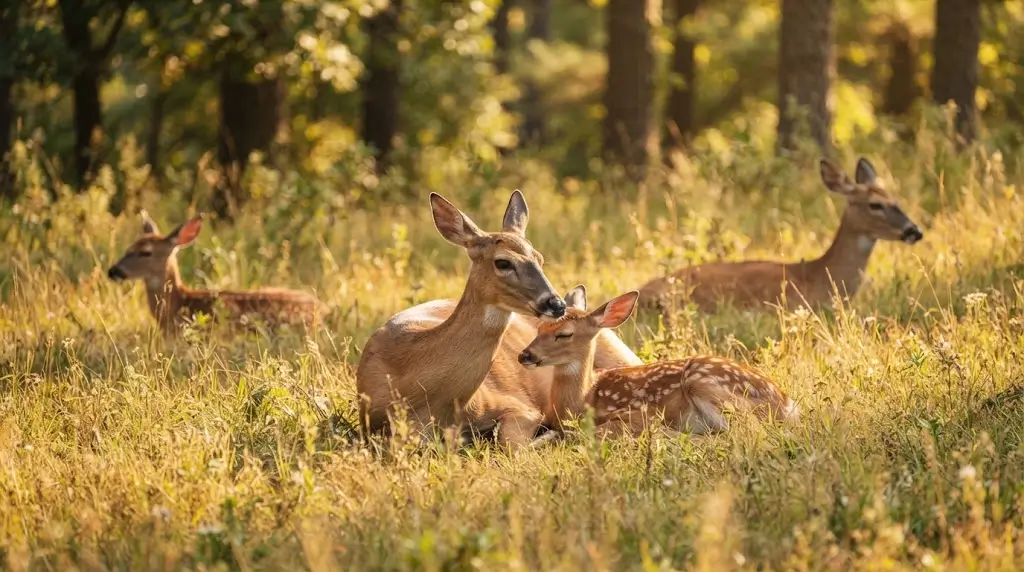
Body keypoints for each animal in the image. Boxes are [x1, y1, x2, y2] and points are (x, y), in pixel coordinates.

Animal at [518, 286, 798, 438]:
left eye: (564, 334)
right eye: (539, 327)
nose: (525, 355)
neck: (585, 399)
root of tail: (787, 404)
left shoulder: (636, 413)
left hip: (704, 382)